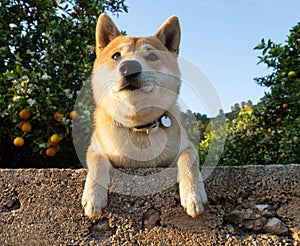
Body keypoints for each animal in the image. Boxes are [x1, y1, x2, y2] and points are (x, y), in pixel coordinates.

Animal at [82, 13, 209, 218]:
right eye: (116, 56)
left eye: (152, 56)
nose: (129, 67)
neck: (138, 125)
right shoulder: (95, 148)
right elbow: (98, 161)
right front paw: (93, 196)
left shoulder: (187, 147)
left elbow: (188, 160)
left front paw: (193, 195)